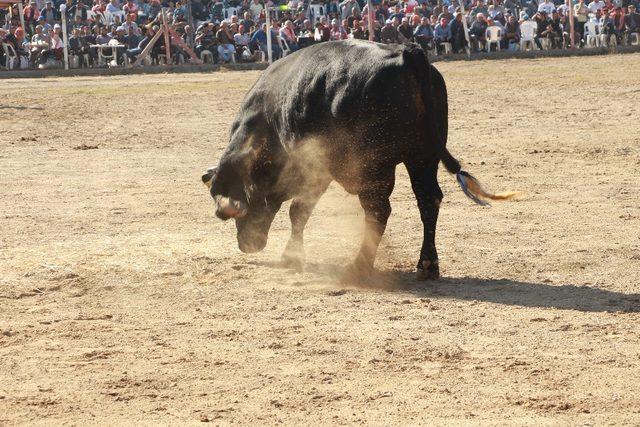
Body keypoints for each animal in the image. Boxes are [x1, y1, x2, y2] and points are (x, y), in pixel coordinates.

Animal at [201, 39, 516, 280]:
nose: (247, 245)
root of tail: (407, 54)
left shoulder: (312, 169)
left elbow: (298, 210)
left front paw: (292, 256)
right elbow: (299, 210)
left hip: (375, 167)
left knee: (378, 209)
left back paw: (359, 266)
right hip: (422, 158)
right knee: (429, 199)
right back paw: (427, 265)